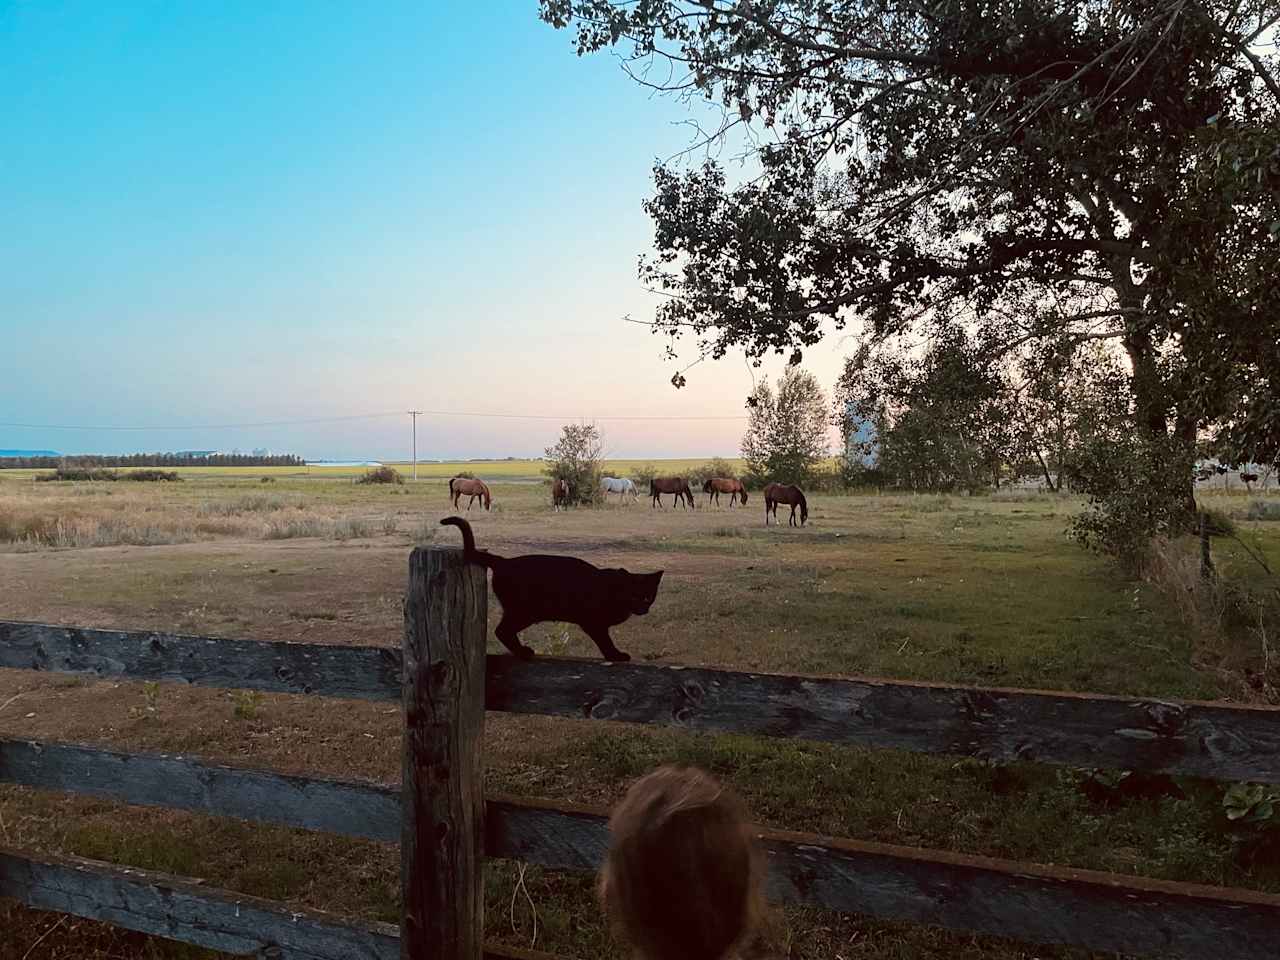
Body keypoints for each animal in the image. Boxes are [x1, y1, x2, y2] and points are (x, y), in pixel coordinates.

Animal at [437, 519, 660, 660]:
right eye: (634, 595)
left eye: (648, 597)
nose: (643, 609)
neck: (615, 592)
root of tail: (504, 561)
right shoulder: (593, 623)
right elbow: (605, 641)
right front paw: (615, 655)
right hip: (525, 612)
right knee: (501, 631)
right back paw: (523, 652)